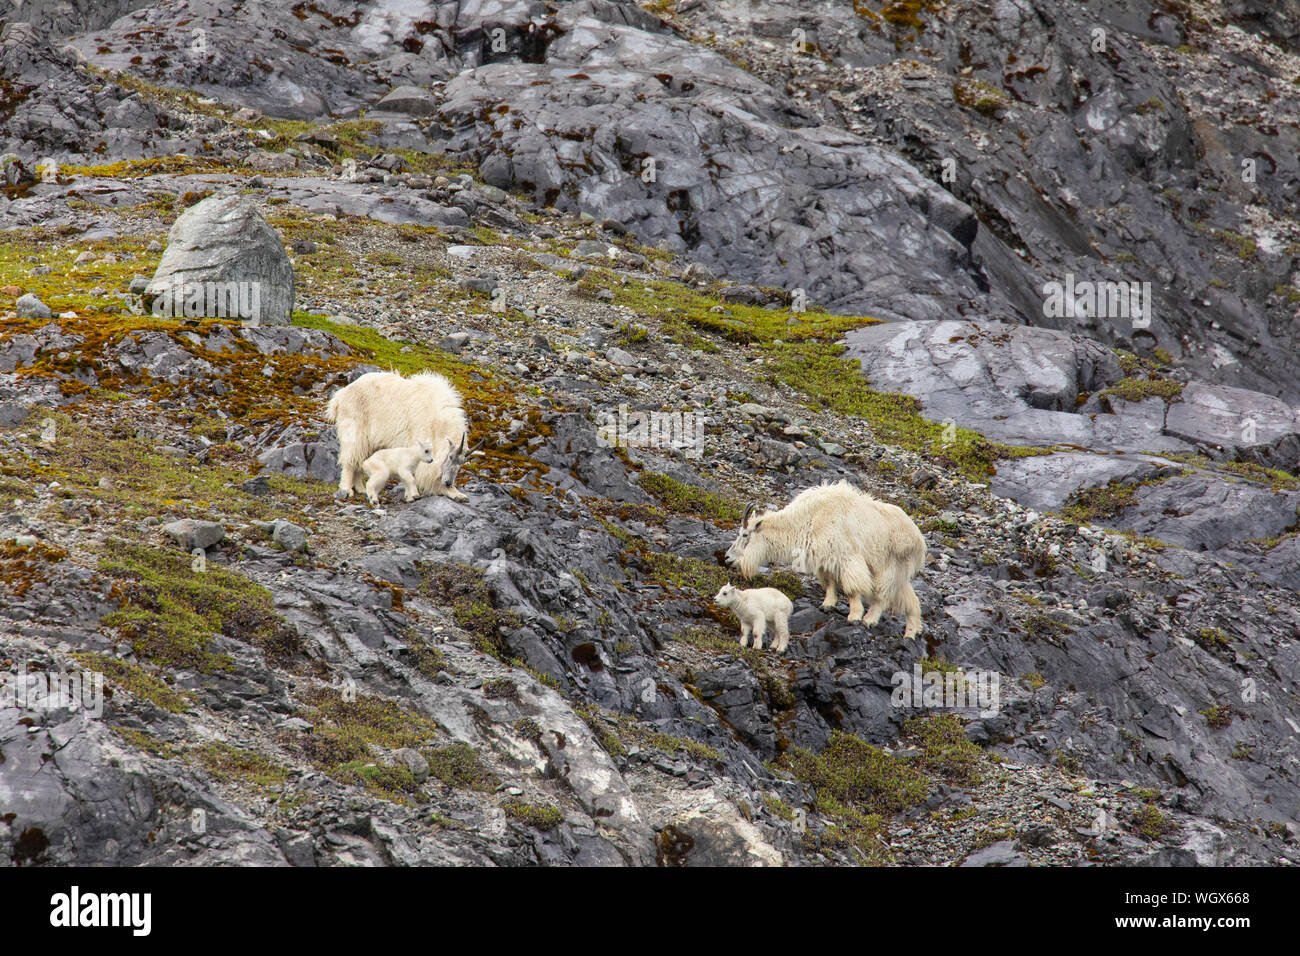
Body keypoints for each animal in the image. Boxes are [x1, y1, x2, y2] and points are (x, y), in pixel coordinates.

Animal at [325, 369, 478, 502]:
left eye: (462, 462)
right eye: (450, 456)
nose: (448, 482)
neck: (438, 422)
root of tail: (340, 396)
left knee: (360, 459)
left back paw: (361, 488)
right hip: (355, 428)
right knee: (350, 458)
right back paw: (347, 490)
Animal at [728, 481, 930, 639]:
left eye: (745, 534)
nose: (728, 558)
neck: (810, 518)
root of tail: (918, 539)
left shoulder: (847, 557)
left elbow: (852, 589)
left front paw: (854, 616)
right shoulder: (827, 560)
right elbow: (831, 583)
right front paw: (827, 605)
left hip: (890, 565)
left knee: (882, 595)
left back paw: (870, 620)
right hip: (900, 572)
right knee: (910, 601)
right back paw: (912, 633)